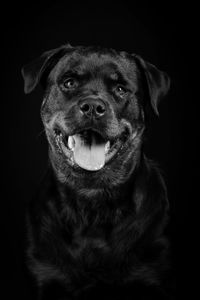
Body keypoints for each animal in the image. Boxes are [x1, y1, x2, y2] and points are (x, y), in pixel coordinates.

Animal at [22, 43, 172, 298]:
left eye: (121, 89)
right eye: (69, 82)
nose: (93, 106)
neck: (92, 200)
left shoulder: (150, 272)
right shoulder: (46, 273)